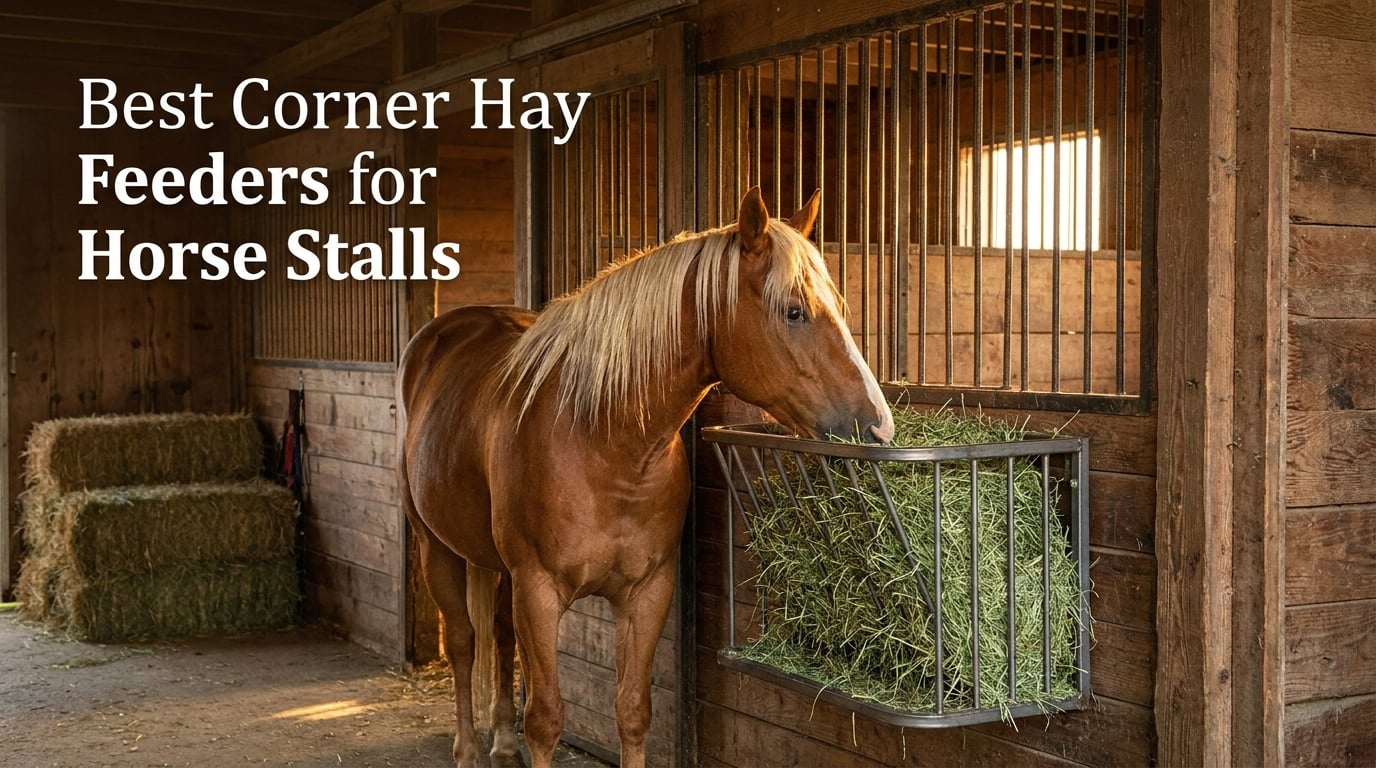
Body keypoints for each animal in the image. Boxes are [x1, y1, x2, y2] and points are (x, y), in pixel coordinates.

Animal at [397, 187, 894, 768]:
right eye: (794, 311)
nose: (878, 425)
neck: (602, 444)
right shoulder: (538, 592)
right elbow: (544, 719)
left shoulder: (647, 592)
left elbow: (633, 712)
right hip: (436, 547)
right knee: (462, 643)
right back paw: (469, 749)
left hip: (497, 566)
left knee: (496, 636)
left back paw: (500, 742)